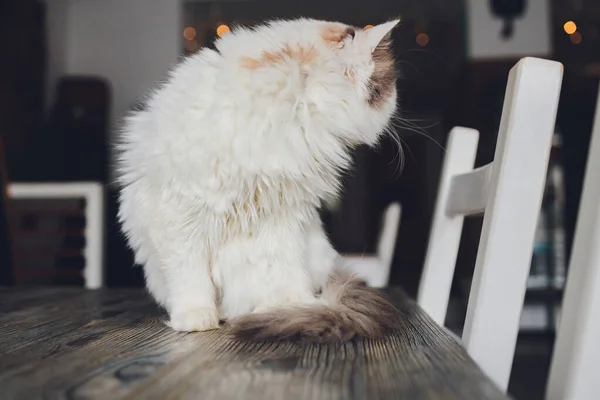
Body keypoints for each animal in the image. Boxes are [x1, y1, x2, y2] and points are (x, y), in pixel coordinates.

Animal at [116, 18, 404, 340]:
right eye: (380, 90)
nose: (394, 105)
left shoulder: (282, 214)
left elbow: (282, 270)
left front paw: (291, 309)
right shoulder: (181, 214)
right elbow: (190, 277)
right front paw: (197, 318)